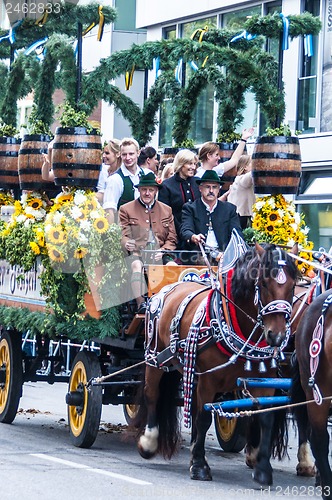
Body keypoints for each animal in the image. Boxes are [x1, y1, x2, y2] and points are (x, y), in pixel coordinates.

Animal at [137, 242, 298, 484]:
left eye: (293, 285)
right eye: (263, 283)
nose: (277, 336)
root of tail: (166, 290)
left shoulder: (264, 381)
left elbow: (266, 418)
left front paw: (262, 469)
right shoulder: (209, 380)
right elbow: (204, 417)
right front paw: (199, 466)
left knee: (191, 405)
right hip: (155, 358)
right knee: (152, 394)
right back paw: (149, 441)